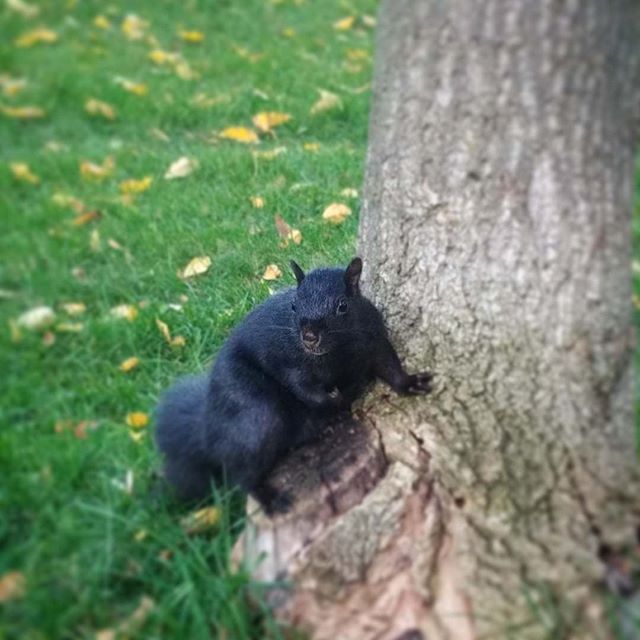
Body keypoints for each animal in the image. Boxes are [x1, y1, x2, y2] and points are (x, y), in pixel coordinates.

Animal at [155, 257, 432, 513]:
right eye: (294, 305)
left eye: (342, 306)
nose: (309, 337)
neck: (338, 350)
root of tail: (209, 429)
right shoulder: (289, 363)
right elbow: (305, 389)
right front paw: (338, 397)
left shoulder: (373, 339)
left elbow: (389, 365)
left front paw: (410, 383)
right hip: (254, 413)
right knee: (240, 474)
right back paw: (269, 497)